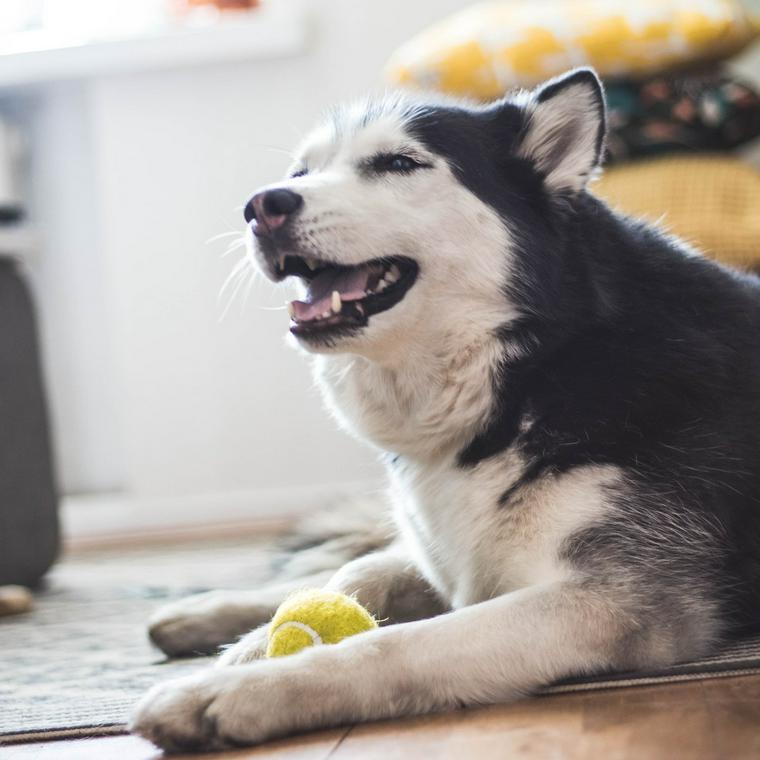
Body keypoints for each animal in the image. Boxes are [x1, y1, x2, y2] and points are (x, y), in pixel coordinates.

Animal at [131, 67, 760, 756]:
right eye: (301, 171)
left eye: (399, 163)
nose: (261, 205)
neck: (531, 367)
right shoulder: (457, 551)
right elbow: (352, 577)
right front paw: (245, 649)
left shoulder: (607, 601)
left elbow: (392, 644)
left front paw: (232, 691)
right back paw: (199, 612)